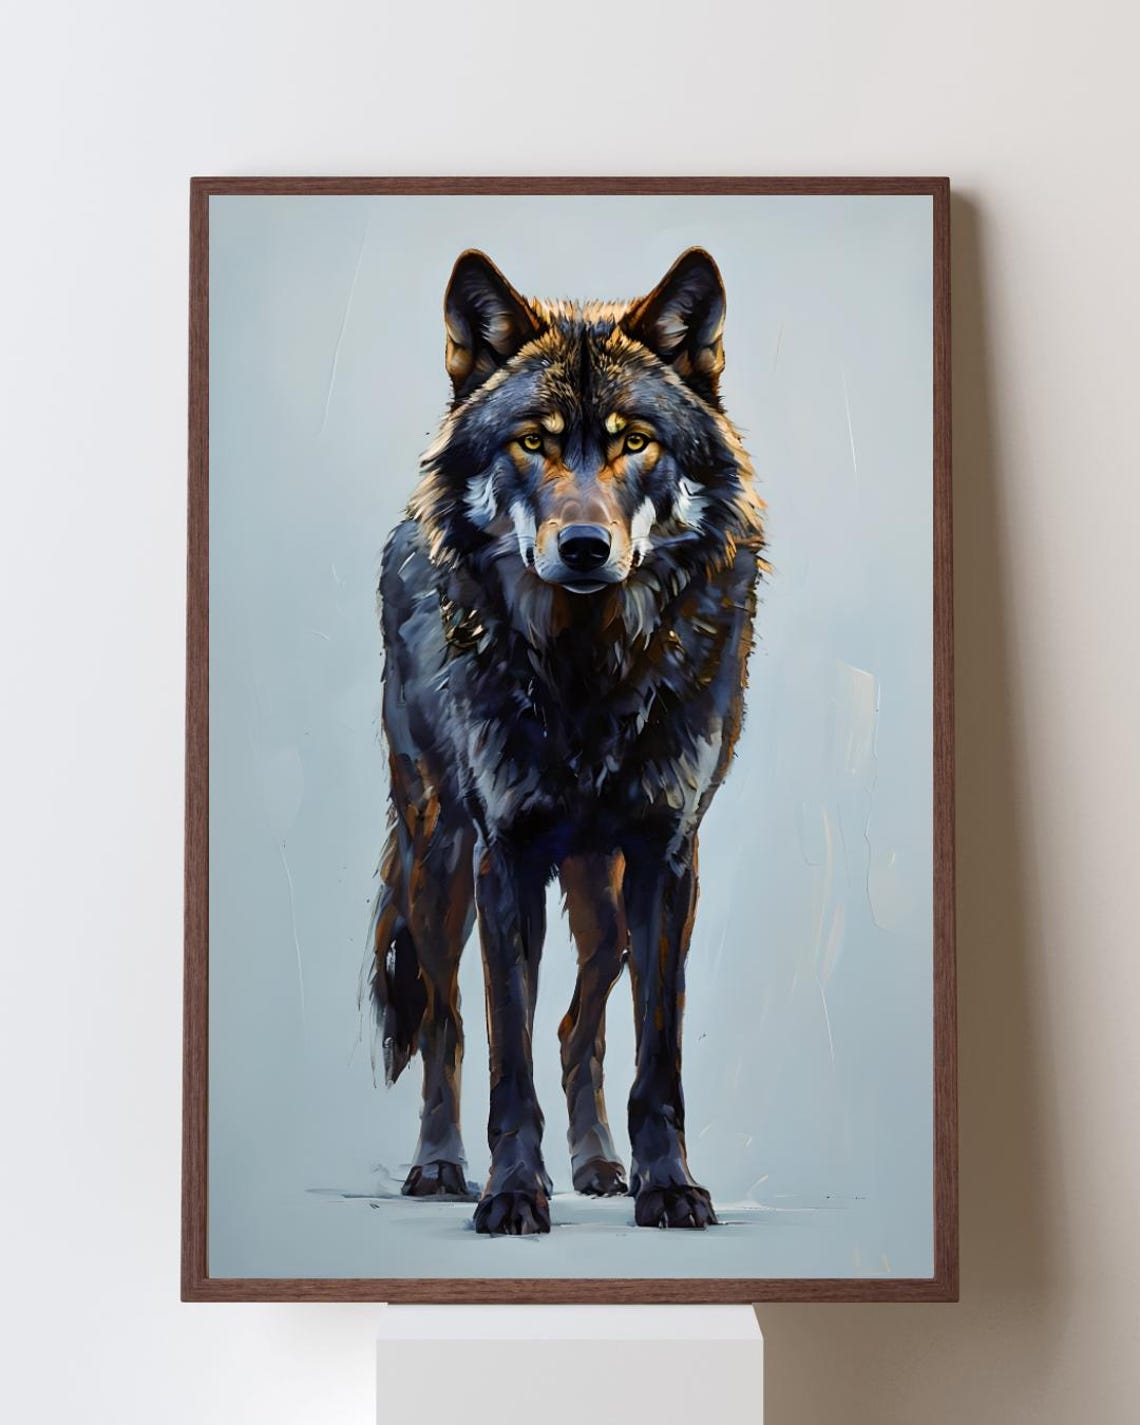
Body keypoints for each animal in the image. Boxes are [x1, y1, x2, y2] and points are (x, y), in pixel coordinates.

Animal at [370, 246, 764, 1234]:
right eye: (533, 442)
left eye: (635, 441)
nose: (585, 547)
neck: (591, 673)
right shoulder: (504, 857)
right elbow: (503, 1053)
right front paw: (512, 1194)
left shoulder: (667, 858)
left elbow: (656, 1057)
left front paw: (669, 1187)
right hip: (439, 859)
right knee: (447, 1020)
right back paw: (441, 1166)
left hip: (605, 896)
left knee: (576, 1025)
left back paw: (598, 1165)